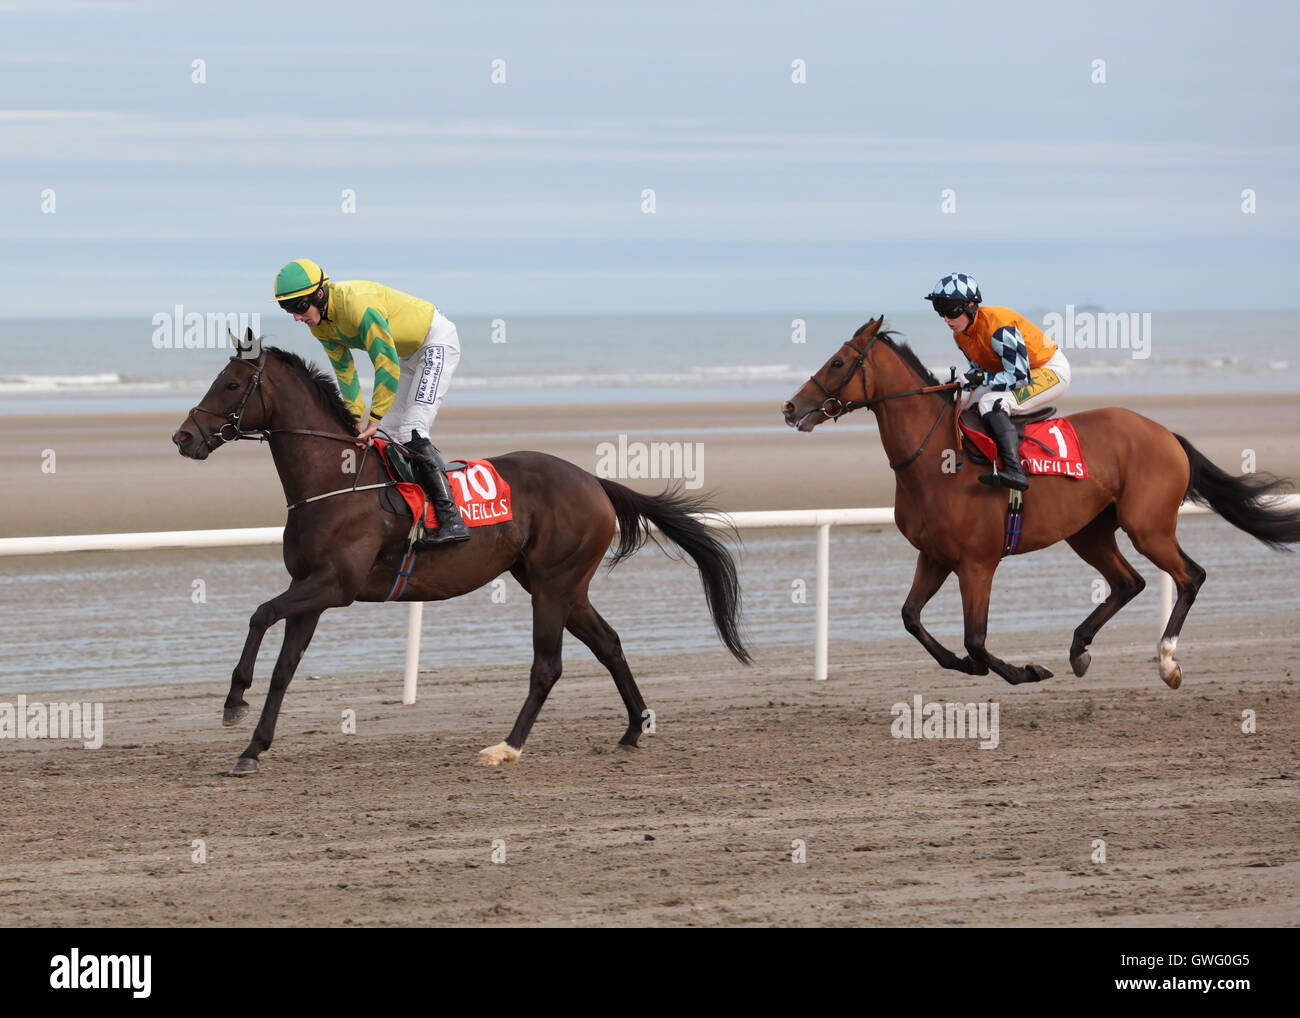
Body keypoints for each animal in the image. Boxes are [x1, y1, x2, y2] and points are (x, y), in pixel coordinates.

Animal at [170, 338, 754, 774]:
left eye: (230, 384)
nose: (183, 437)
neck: (335, 482)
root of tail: (593, 481)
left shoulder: (335, 586)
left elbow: (259, 613)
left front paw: (233, 700)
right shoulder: (310, 591)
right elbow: (284, 670)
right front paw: (252, 747)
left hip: (553, 584)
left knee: (547, 666)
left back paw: (507, 747)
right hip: (560, 584)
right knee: (608, 643)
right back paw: (634, 728)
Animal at [780, 314, 1300, 686]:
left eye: (838, 363)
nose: (790, 407)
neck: (936, 460)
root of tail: (1164, 433)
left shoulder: (977, 562)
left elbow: (976, 639)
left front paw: (1024, 671)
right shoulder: (934, 555)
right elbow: (912, 619)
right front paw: (969, 666)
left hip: (1148, 526)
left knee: (1190, 575)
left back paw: (1167, 661)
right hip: (1090, 532)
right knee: (1128, 582)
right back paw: (1079, 648)